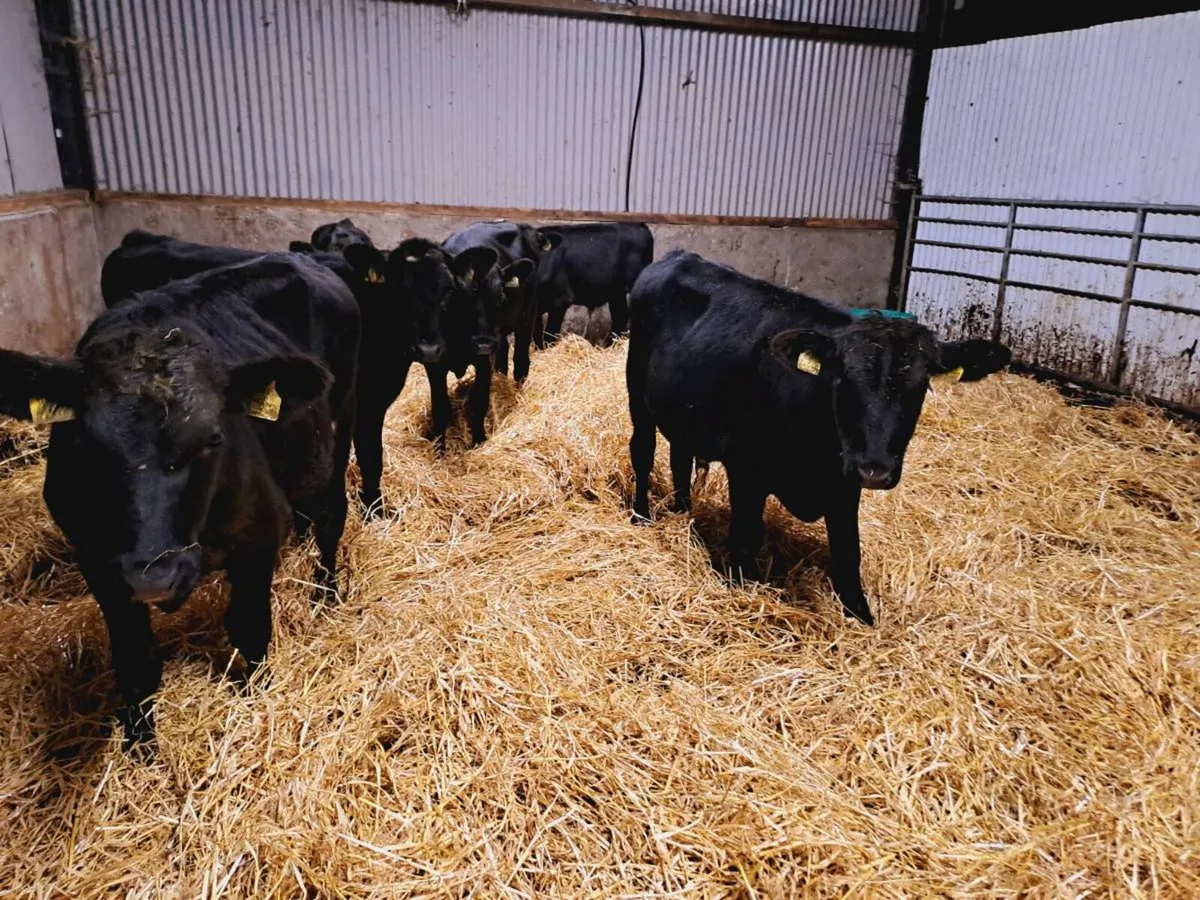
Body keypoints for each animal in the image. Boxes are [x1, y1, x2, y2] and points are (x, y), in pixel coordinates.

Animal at [0, 254, 359, 746]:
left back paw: (326, 591)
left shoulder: (257, 535)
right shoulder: (100, 566)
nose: (154, 577)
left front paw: (255, 698)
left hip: (342, 425)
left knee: (330, 517)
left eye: (213, 439)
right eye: (84, 445)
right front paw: (141, 747)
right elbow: (135, 665)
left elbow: (250, 629)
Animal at [387, 238, 499, 450]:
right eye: (401, 292)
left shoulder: (484, 356)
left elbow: (479, 402)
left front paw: (479, 441)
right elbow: (440, 407)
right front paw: (439, 449)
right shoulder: (435, 366)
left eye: (449, 289)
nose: (429, 349)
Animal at [626, 251, 1011, 626]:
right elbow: (747, 538)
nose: (875, 470)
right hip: (637, 394)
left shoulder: (845, 480)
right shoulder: (746, 470)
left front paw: (861, 615)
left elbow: (848, 551)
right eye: (841, 379)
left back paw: (682, 511)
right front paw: (740, 590)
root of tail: (679, 256)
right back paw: (641, 515)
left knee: (680, 458)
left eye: (920, 386)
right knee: (643, 452)